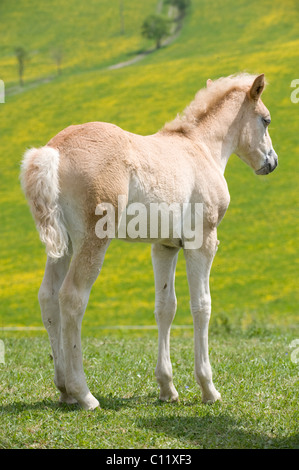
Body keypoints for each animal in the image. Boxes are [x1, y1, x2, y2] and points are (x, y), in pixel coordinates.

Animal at [20, 72, 278, 408]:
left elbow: (165, 307)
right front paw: (208, 389)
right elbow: (201, 306)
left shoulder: (164, 246)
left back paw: (63, 389)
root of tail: (53, 151)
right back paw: (84, 394)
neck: (200, 148)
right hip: (92, 242)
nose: (271, 162)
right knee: (72, 298)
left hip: (63, 246)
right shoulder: (202, 242)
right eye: (266, 120)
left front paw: (167, 388)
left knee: (48, 298)